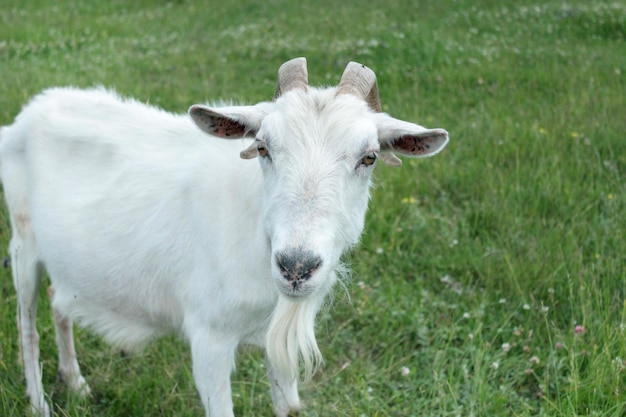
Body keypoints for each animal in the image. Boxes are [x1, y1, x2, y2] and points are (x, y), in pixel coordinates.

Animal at [0, 58, 448, 416]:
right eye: (263, 147)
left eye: (368, 157)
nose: (296, 267)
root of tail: (29, 112)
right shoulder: (209, 336)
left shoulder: (273, 336)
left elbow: (288, 407)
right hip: (23, 243)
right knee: (27, 323)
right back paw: (39, 403)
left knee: (59, 302)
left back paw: (75, 383)